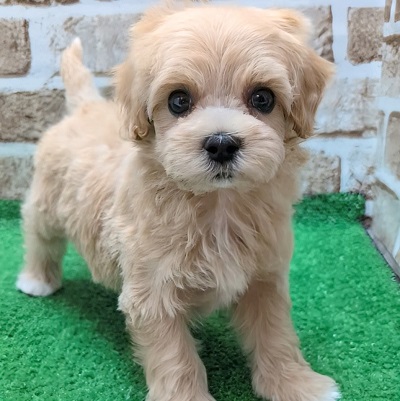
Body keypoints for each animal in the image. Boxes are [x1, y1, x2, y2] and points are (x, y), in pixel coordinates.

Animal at [16, 1, 338, 400]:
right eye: (179, 101)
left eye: (263, 98)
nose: (221, 143)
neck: (217, 205)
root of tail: (85, 107)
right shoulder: (152, 292)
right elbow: (176, 356)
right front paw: (187, 395)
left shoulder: (266, 277)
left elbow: (275, 333)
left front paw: (296, 384)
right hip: (46, 201)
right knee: (39, 235)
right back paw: (37, 279)